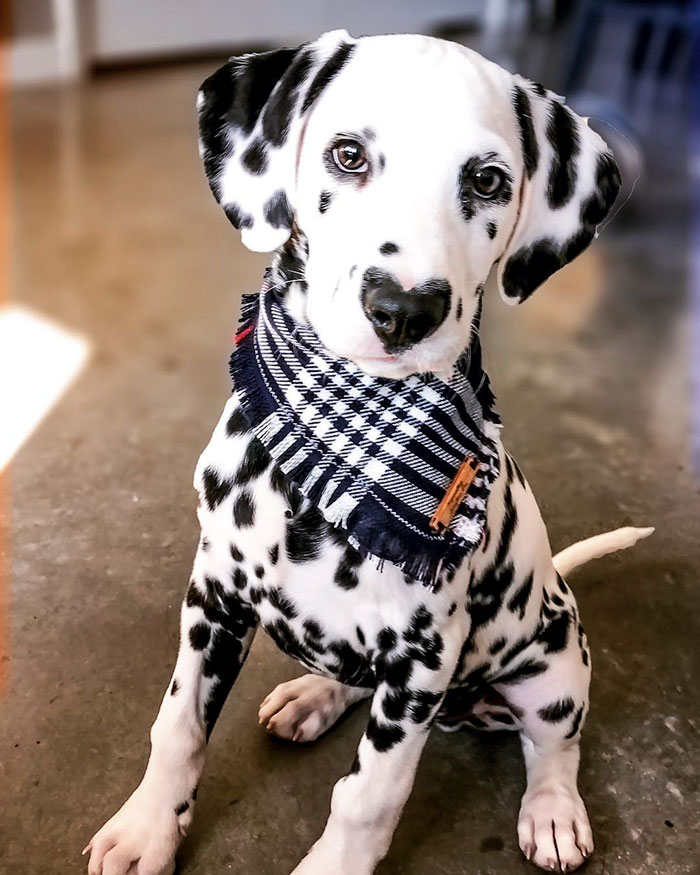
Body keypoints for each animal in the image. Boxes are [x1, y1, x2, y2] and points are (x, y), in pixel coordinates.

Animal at [86, 30, 652, 875]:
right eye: (347, 155)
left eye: (488, 181)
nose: (405, 309)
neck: (340, 453)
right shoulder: (212, 595)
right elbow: (178, 724)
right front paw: (147, 826)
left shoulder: (420, 661)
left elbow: (366, 795)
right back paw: (313, 695)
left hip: (554, 665)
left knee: (555, 743)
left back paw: (552, 810)